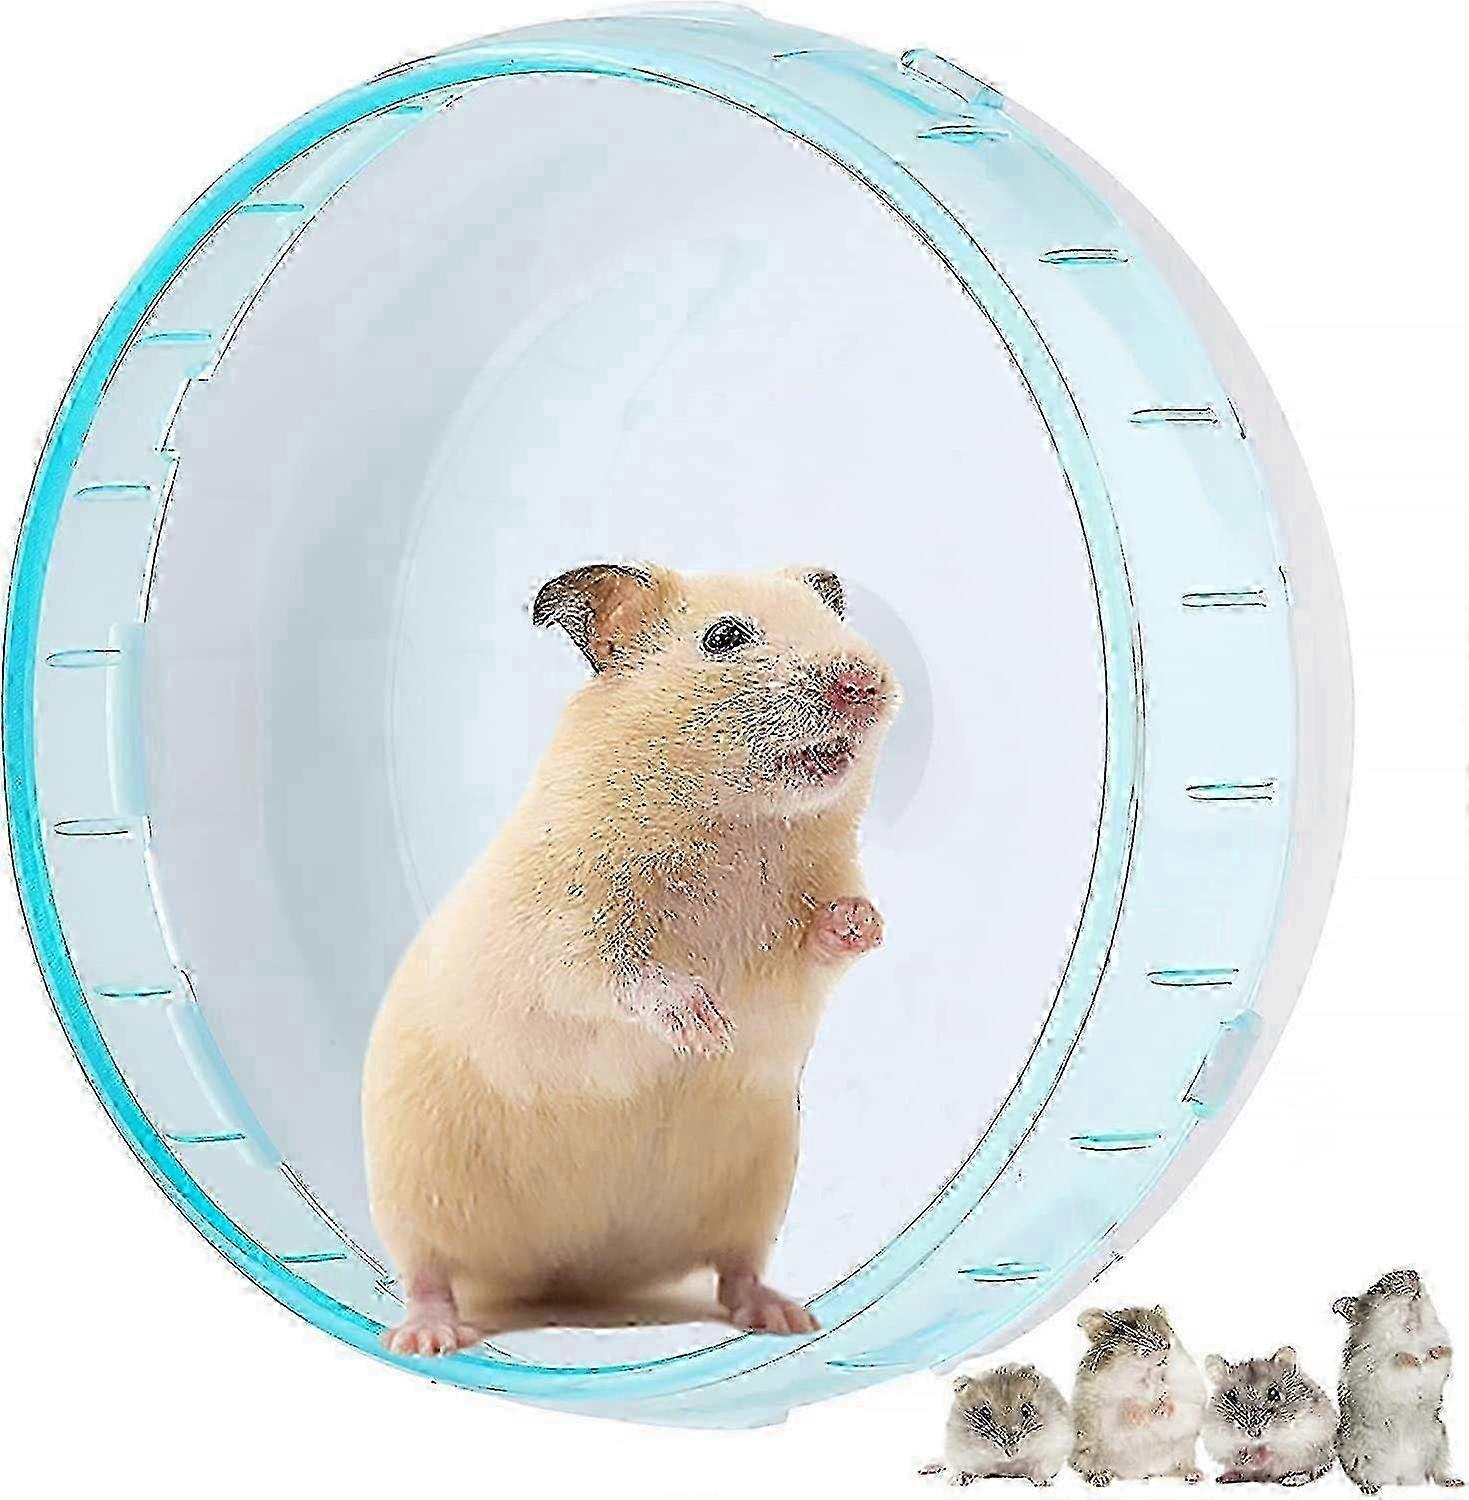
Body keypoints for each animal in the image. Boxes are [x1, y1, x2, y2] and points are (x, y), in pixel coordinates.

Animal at [362, 562, 899, 1352]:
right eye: (725, 637)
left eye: (833, 620)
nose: (862, 682)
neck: (739, 821)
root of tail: (572, 1277)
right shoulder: (564, 928)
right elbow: (617, 974)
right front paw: (705, 1027)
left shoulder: (794, 960)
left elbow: (821, 943)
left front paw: (862, 922)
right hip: (414, 1186)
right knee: (429, 1273)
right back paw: (425, 1337)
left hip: (757, 1188)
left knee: (734, 1269)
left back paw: (786, 1316)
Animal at [921, 1365, 1073, 1486]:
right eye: (984, 1413)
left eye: (1026, 1410)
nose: (1012, 1452)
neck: (1007, 1464)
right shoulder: (963, 1455)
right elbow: (967, 1469)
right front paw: (957, 1481)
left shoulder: (1053, 1448)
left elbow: (1039, 1468)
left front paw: (1046, 1483)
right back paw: (924, 1469)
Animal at [1070, 1304, 1208, 1486]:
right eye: (1129, 1325)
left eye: (1165, 1325)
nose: (1165, 1344)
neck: (1148, 1378)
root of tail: (1143, 1472)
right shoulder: (1103, 1400)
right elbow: (1124, 1403)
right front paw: (1142, 1416)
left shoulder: (1189, 1386)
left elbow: (1174, 1396)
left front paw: (1161, 1411)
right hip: (1088, 1451)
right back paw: (1101, 1477)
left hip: (1184, 1449)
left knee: (1180, 1465)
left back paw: (1194, 1475)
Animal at [1203, 1347, 1338, 1485]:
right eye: (1231, 1396)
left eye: (1273, 1393)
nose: (1253, 1433)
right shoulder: (1217, 1439)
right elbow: (1233, 1453)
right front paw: (1245, 1456)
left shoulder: (1302, 1436)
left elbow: (1275, 1449)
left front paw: (1259, 1456)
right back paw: (1225, 1477)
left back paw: (1292, 1479)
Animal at [1335, 1269, 1462, 1493]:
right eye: (1378, 1289)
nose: (1414, 1274)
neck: (1411, 1334)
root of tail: (1400, 1477)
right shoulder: (1370, 1367)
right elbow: (1391, 1362)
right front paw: (1409, 1359)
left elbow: (1441, 1355)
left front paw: (1436, 1352)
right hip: (1358, 1455)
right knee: (1362, 1477)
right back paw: (1371, 1488)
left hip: (1439, 1442)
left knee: (1436, 1473)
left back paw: (1454, 1482)